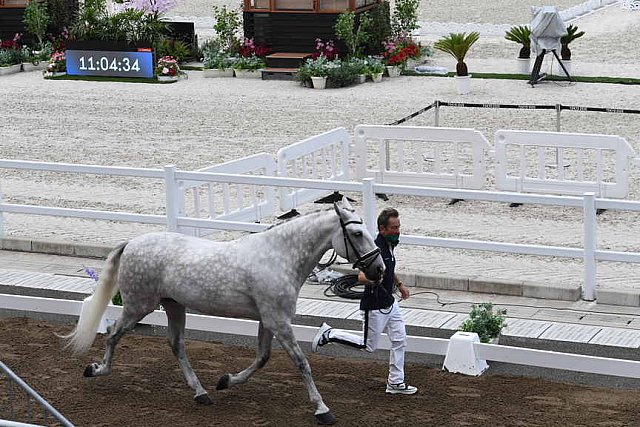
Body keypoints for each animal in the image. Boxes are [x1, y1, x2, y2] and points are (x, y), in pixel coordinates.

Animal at [61, 199, 380, 426]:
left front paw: (226, 380)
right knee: (113, 333)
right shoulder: (278, 321)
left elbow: (262, 358)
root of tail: (132, 243)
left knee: (176, 344)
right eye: (356, 233)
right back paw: (97, 369)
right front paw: (323, 410)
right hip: (139, 306)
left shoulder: (268, 320)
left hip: (173, 306)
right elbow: (302, 363)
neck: (279, 257)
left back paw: (201, 393)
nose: (378, 269)